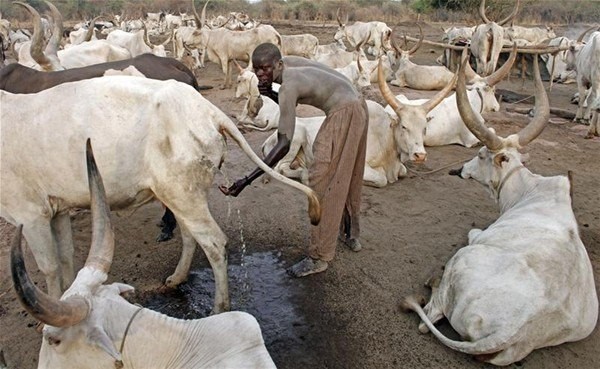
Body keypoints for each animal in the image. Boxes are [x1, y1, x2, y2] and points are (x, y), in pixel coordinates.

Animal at [0, 76, 322, 312]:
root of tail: (209, 110)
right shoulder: (57, 209)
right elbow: (65, 257)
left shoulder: (30, 214)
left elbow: (49, 267)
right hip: (179, 192)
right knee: (192, 236)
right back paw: (177, 278)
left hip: (182, 193)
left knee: (215, 243)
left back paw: (220, 307)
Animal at [400, 54, 596, 366]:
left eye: (481, 154)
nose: (459, 170)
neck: (528, 191)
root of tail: (514, 329)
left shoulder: (478, 236)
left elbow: (472, 231)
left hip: (460, 260)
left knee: (428, 316)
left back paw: (431, 284)